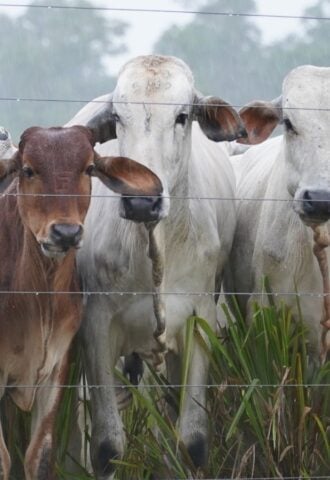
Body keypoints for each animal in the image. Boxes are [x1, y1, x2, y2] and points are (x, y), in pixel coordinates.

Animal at [67, 54, 246, 478]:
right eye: (118, 117)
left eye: (182, 116)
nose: (141, 201)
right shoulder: (96, 327)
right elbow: (107, 446)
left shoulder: (199, 319)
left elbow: (192, 440)